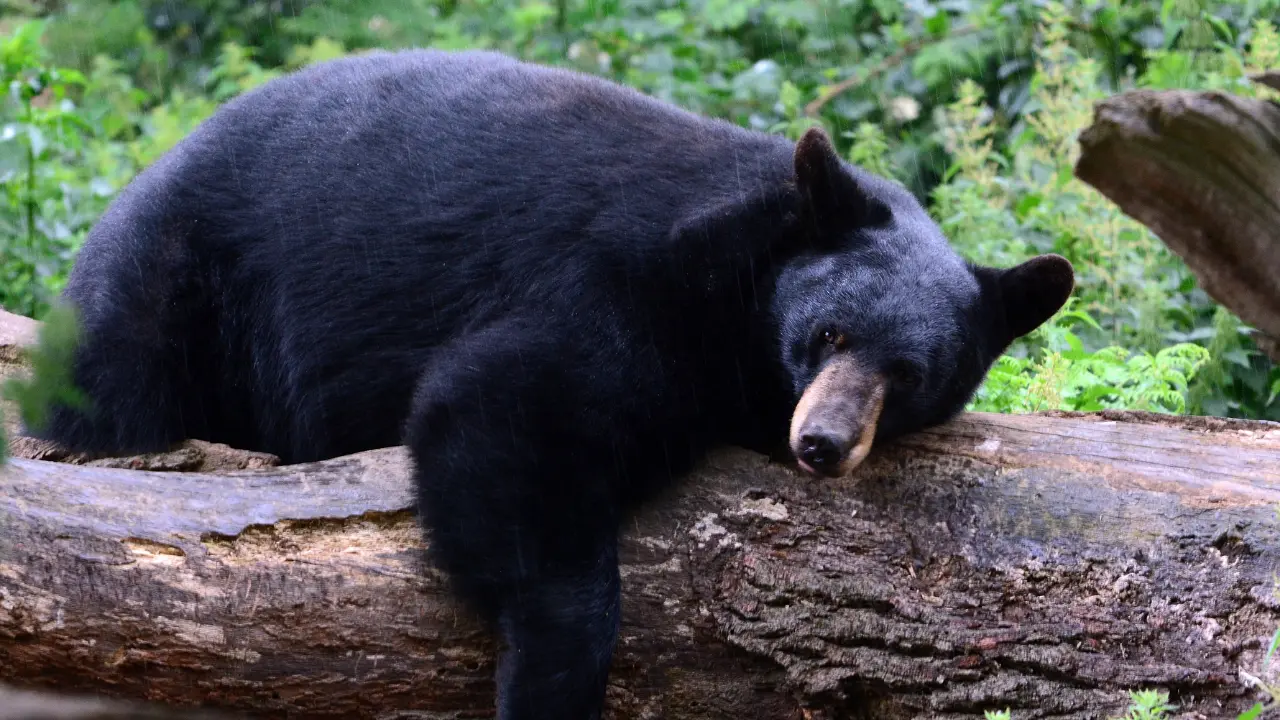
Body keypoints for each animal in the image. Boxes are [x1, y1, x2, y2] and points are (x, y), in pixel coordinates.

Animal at [34, 49, 1074, 719]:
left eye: (909, 376)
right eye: (829, 332)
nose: (821, 444)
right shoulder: (625, 280)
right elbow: (508, 409)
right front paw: (551, 676)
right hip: (175, 279)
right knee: (116, 383)